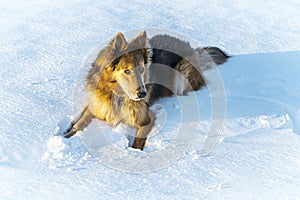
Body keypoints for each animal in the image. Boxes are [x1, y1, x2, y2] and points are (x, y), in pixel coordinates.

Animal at [62, 30, 227, 150]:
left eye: (142, 70)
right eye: (127, 71)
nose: (142, 94)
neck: (116, 96)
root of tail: (193, 49)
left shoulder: (147, 117)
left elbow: (139, 140)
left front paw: (134, 154)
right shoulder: (95, 107)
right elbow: (79, 123)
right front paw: (66, 136)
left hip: (181, 74)